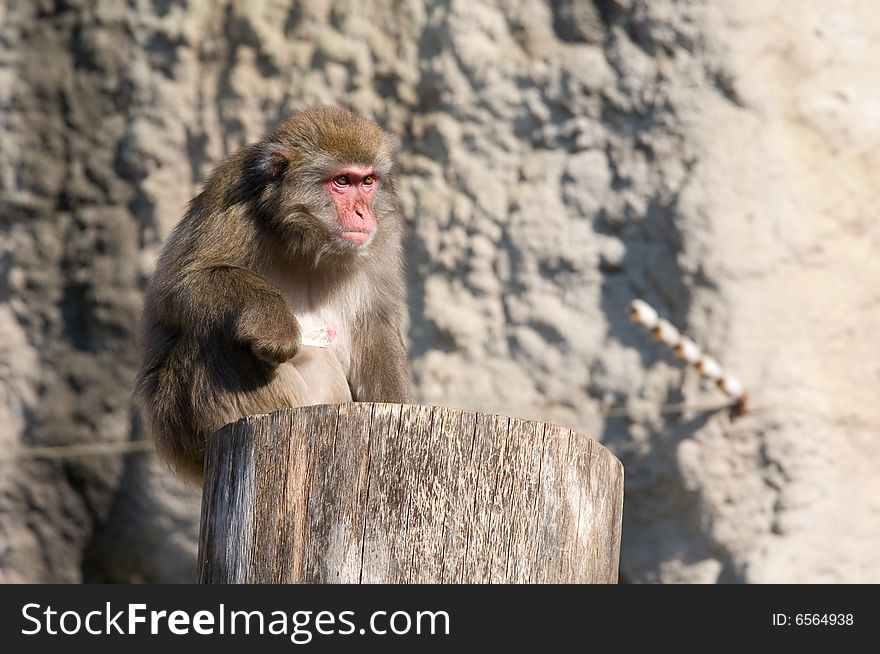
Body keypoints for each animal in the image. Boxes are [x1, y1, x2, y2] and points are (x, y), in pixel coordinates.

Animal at [136, 107, 414, 484]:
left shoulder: (384, 233)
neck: (306, 241)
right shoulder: (234, 203)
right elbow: (178, 286)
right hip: (180, 424)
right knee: (218, 343)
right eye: (342, 181)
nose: (362, 213)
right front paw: (275, 324)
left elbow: (375, 324)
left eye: (367, 181)